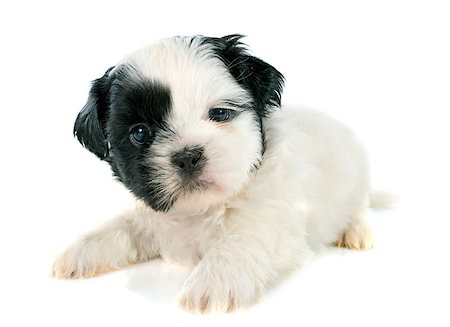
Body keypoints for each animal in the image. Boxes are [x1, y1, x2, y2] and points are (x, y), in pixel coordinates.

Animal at [51, 34, 376, 314]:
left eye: (220, 114)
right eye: (140, 133)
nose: (188, 156)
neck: (201, 209)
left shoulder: (276, 221)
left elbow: (246, 238)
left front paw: (215, 280)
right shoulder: (150, 218)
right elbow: (121, 227)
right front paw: (82, 250)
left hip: (356, 177)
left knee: (360, 207)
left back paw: (357, 232)